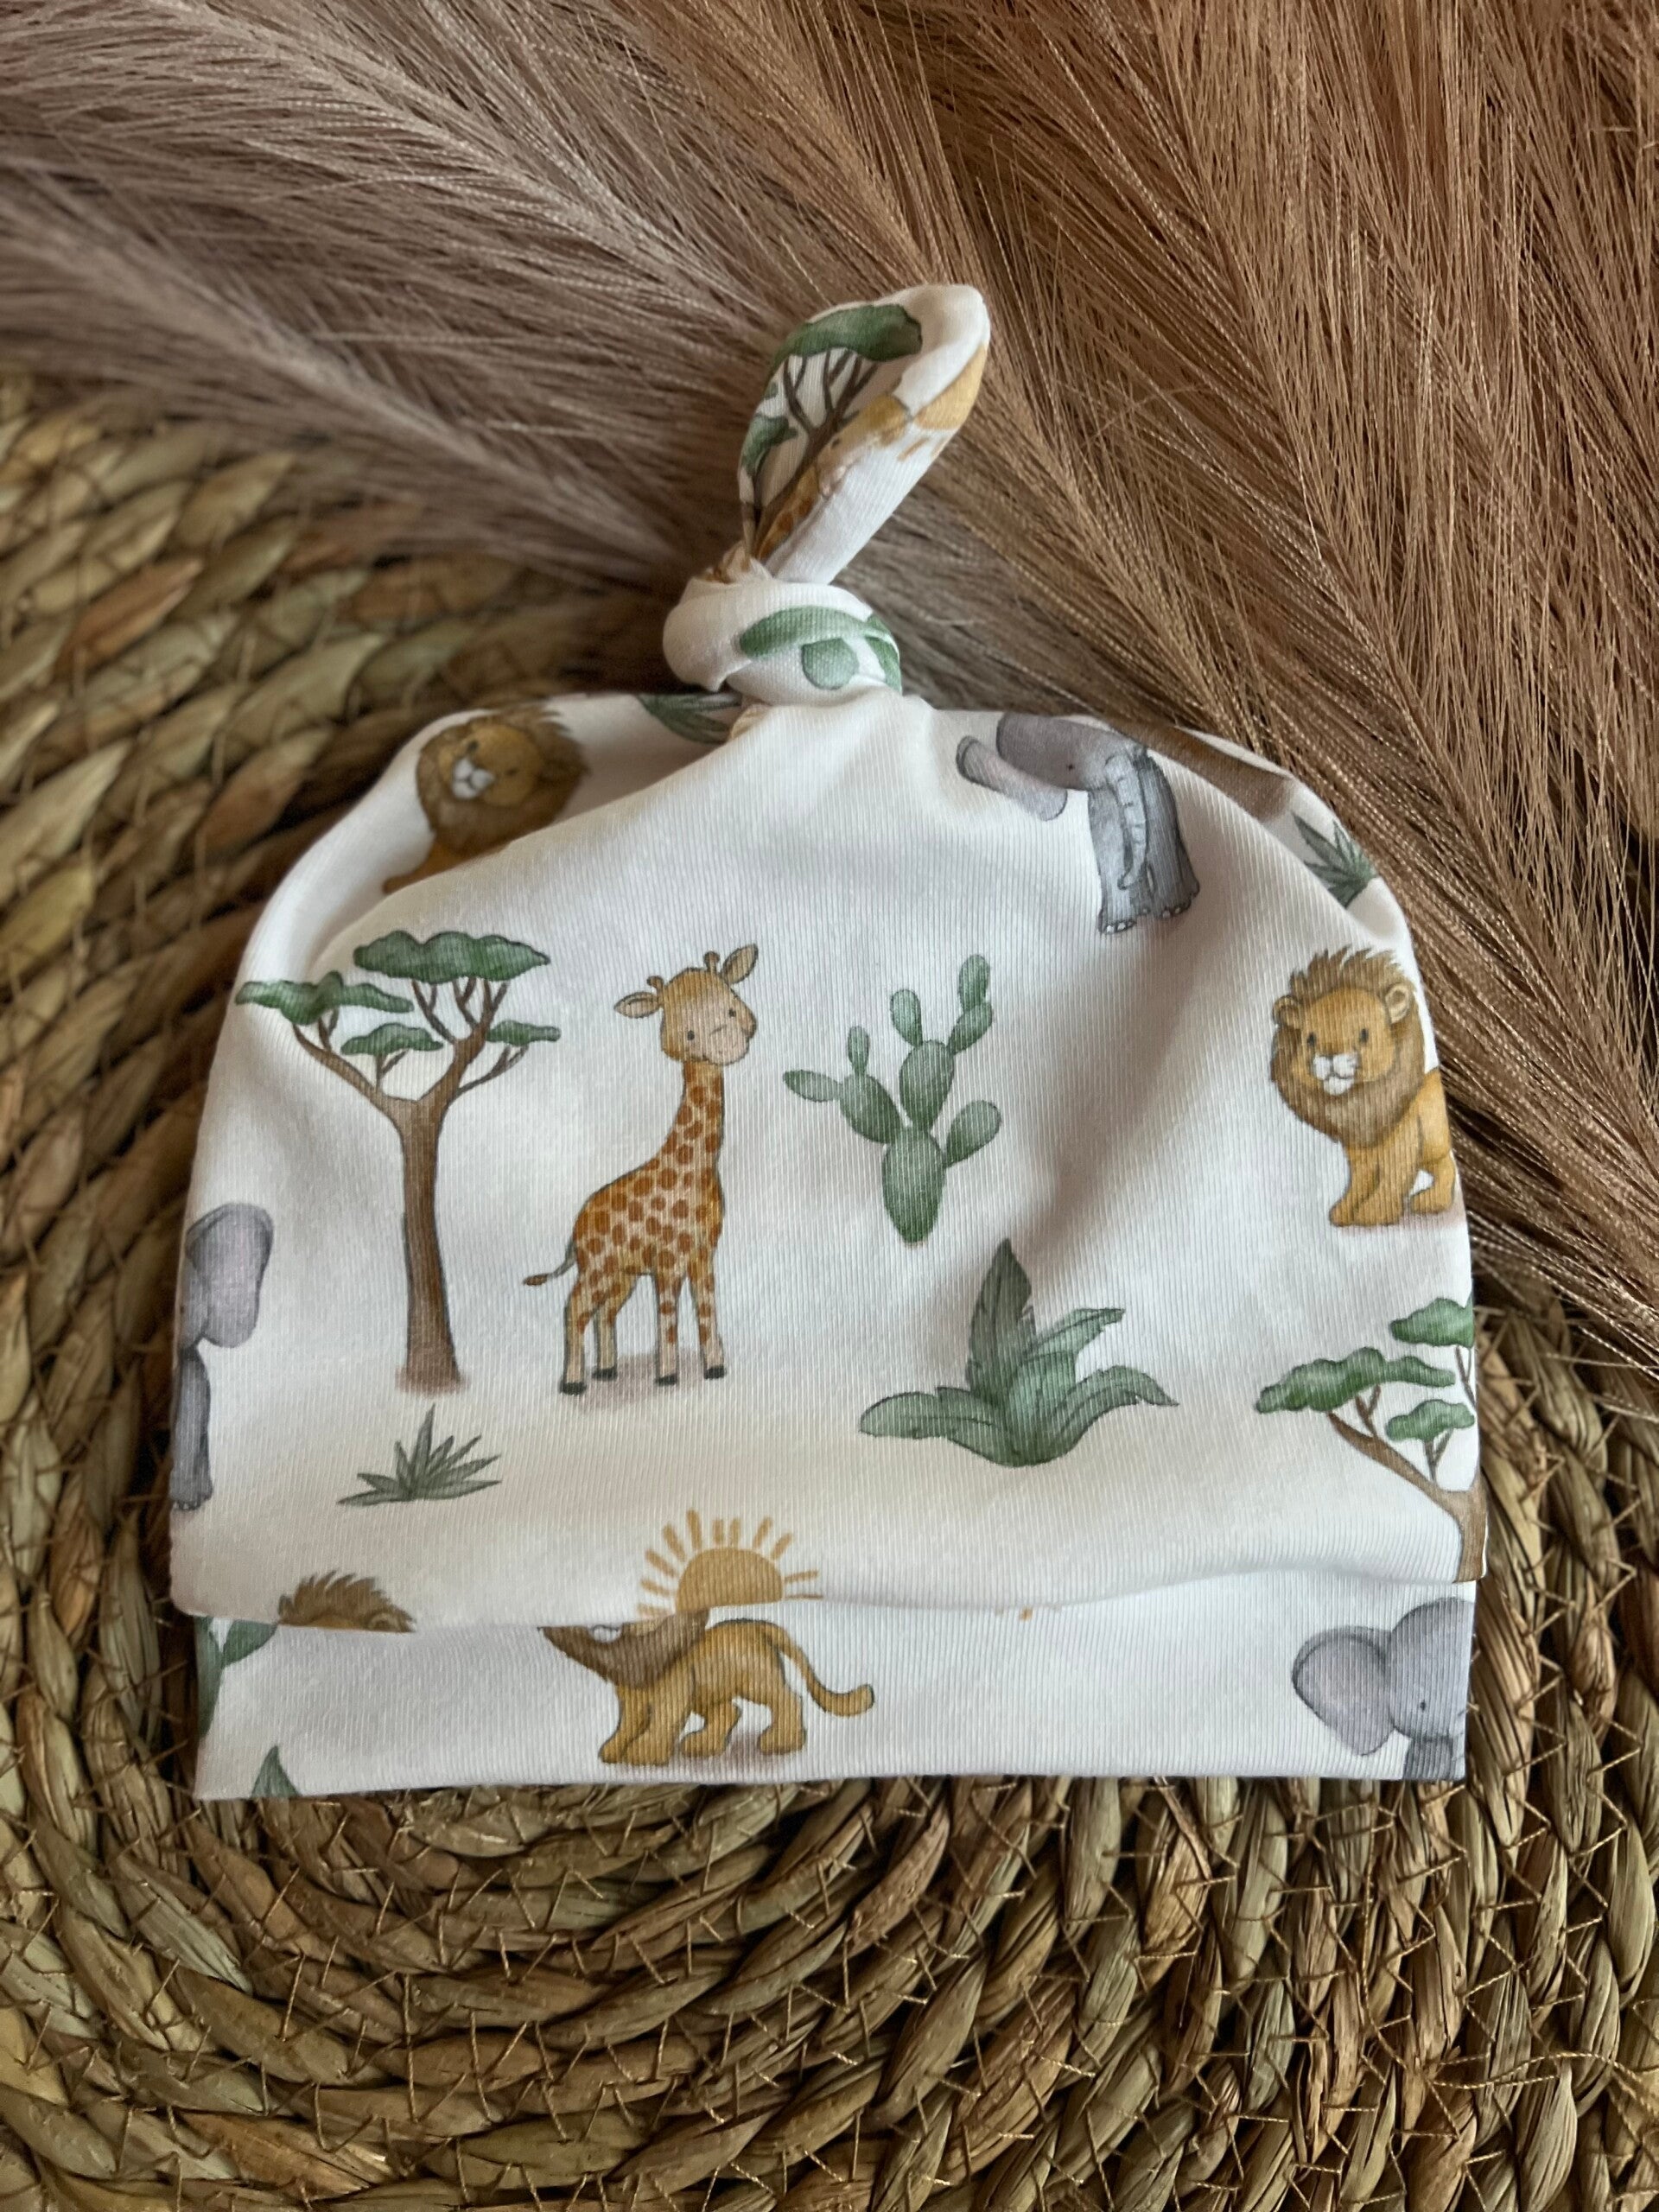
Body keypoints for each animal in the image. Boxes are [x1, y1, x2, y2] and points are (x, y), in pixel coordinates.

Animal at [535, 947, 758, 1394]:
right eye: (687, 1035)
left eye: (731, 1006)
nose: (727, 1043)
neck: (696, 1170)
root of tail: (576, 1227)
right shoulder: (668, 1260)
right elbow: (668, 1316)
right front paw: (667, 1375)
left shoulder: (703, 1254)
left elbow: (706, 1309)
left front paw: (715, 1368)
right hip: (599, 1266)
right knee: (575, 1306)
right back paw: (573, 1382)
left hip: (622, 1274)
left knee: (604, 1312)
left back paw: (606, 1370)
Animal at [544, 1613, 875, 1765]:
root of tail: (758, 1625)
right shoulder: (632, 1702)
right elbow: (626, 1726)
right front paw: (613, 1749)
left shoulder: (674, 1695)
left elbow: (660, 1723)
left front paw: (644, 1753)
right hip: (707, 1694)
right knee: (729, 1711)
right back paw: (703, 1745)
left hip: (755, 1680)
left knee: (788, 1699)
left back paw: (782, 1741)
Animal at [956, 712, 1200, 934]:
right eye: (1071, 766)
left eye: (1138, 754)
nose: (1123, 881)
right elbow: (1109, 848)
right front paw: (1118, 926)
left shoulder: (1149, 781)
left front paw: (1172, 911)